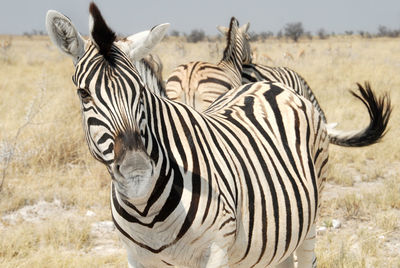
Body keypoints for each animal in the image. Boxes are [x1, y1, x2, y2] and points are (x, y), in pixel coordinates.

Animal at [46, 3, 390, 266]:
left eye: (140, 92)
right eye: (83, 94)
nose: (136, 171)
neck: (147, 211)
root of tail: (266, 84)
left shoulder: (216, 249)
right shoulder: (136, 256)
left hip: (311, 216)